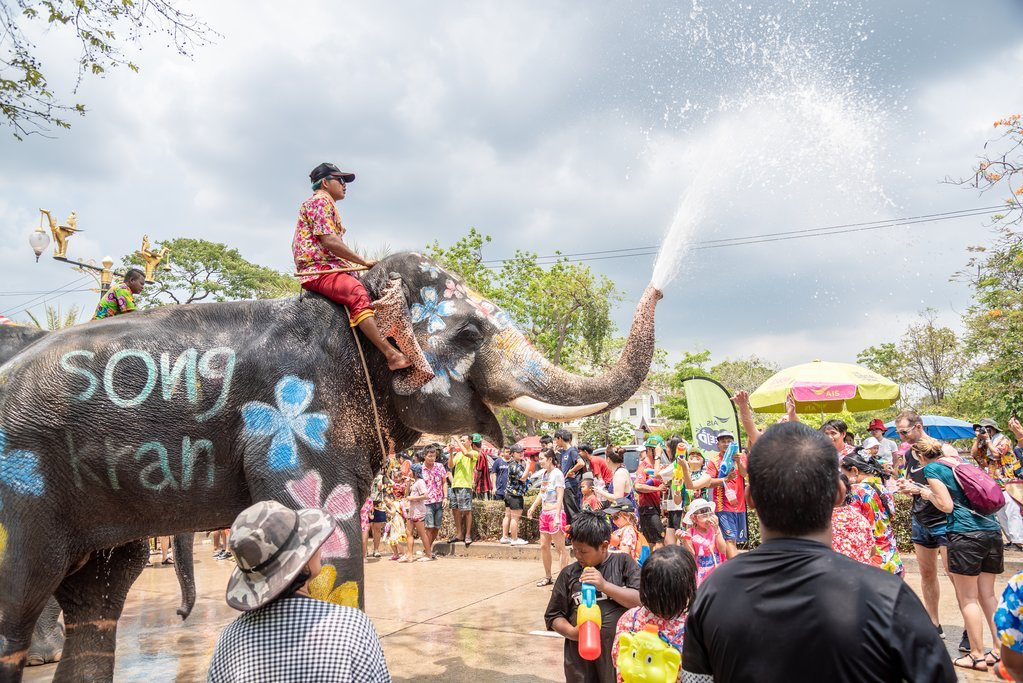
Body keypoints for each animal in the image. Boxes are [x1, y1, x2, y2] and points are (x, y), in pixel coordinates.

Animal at [0, 253, 658, 678]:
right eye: (469, 333)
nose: (659, 289)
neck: (355, 304)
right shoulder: (294, 419)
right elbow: (325, 532)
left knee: (99, 601)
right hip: (21, 487)